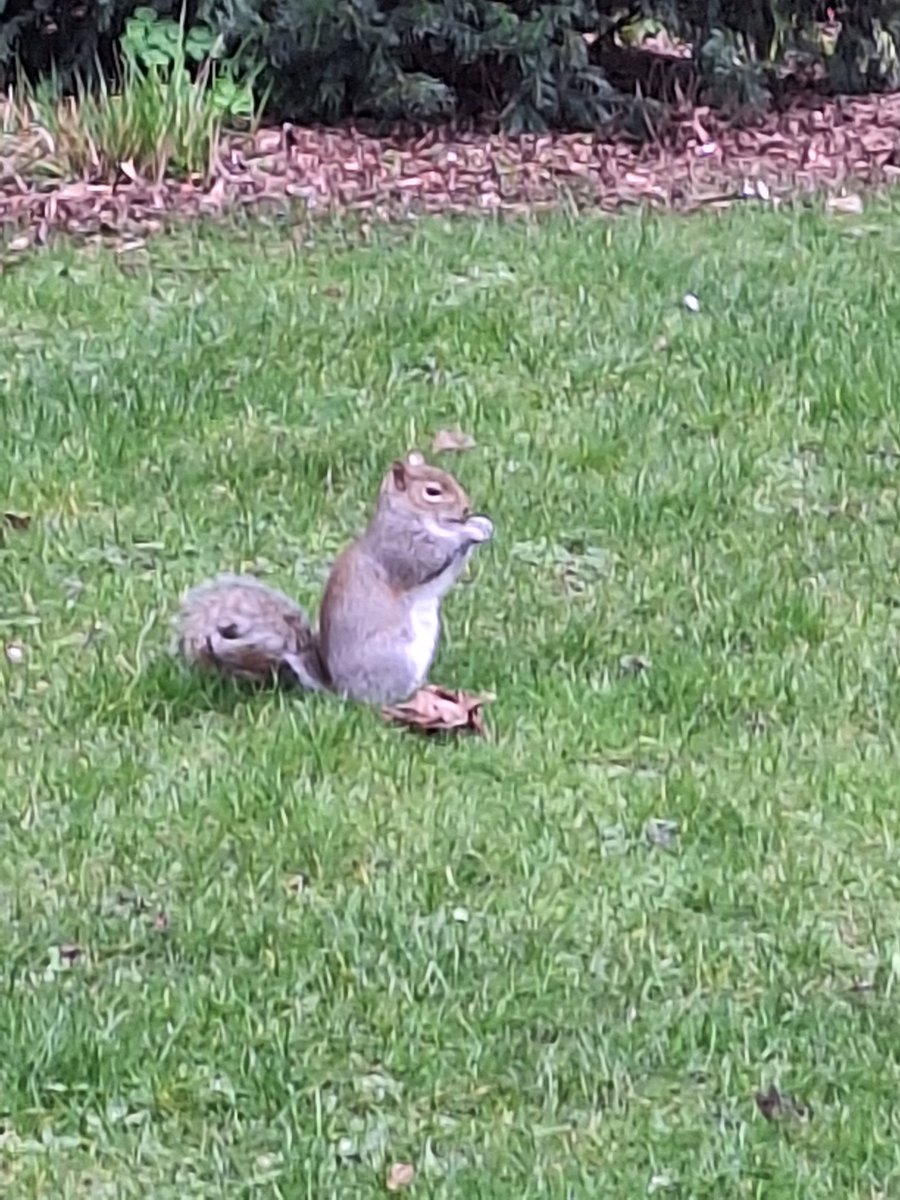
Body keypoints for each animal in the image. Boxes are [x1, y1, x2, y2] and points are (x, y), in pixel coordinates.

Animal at [174, 451, 494, 705]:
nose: (466, 507)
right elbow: (430, 558)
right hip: (394, 659)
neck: (407, 515)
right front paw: (467, 531)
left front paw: (480, 523)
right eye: (432, 492)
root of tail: (341, 691)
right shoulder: (399, 549)